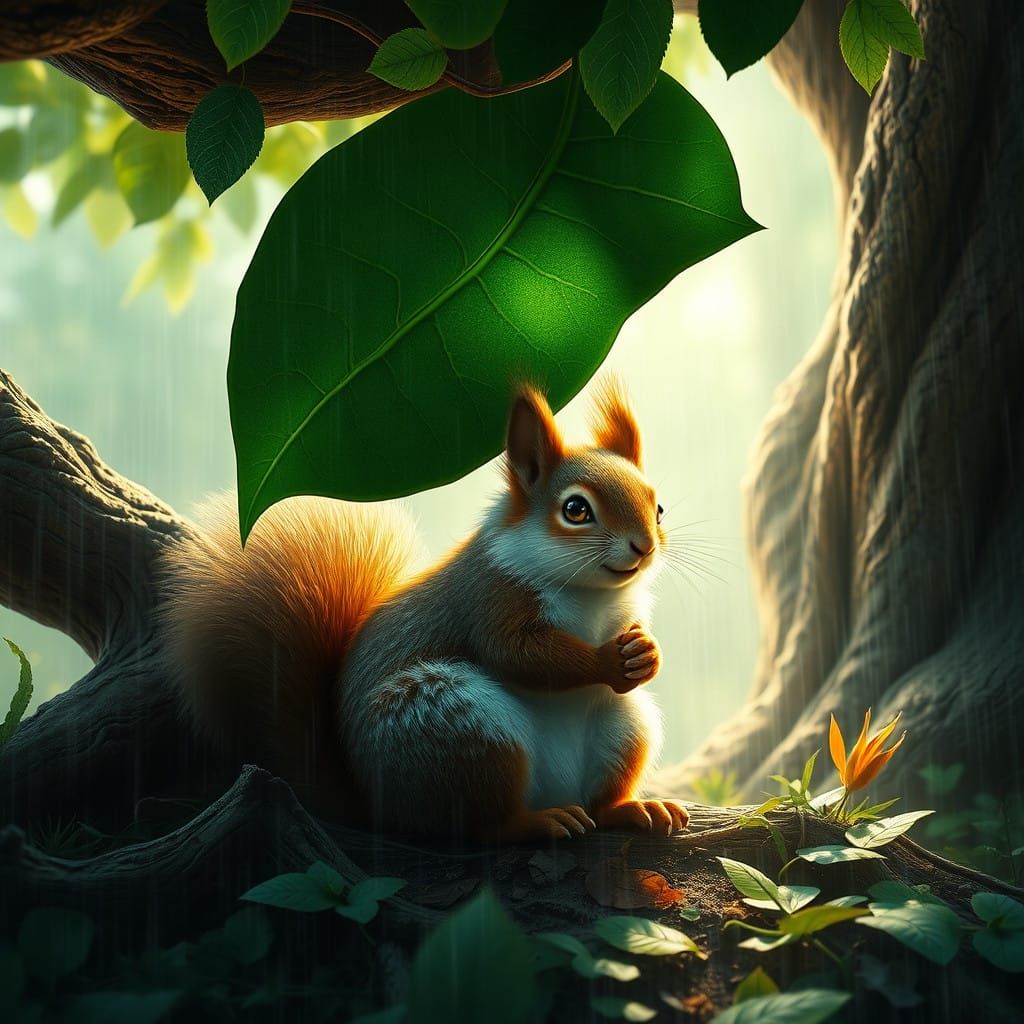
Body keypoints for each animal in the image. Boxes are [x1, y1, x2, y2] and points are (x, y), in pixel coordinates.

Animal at [159, 381, 688, 843]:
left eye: (658, 507)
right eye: (576, 510)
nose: (644, 546)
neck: (593, 594)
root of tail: (374, 806)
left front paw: (648, 652)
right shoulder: (490, 598)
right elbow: (520, 655)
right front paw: (608, 661)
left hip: (623, 727)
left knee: (600, 801)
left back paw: (634, 808)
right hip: (457, 723)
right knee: (483, 827)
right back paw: (535, 823)